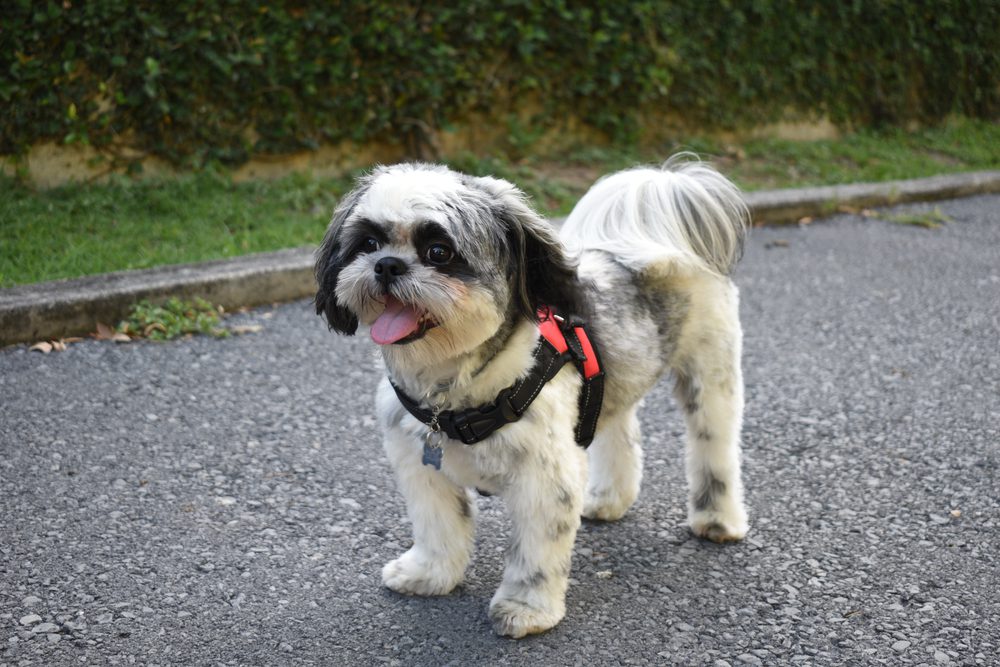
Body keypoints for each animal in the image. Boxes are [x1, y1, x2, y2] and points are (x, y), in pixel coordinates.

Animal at [316, 155, 748, 636]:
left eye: (439, 252)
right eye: (368, 242)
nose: (387, 264)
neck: (453, 391)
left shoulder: (543, 479)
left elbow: (535, 551)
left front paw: (526, 608)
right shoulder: (422, 467)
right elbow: (438, 528)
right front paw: (428, 574)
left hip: (710, 375)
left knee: (714, 446)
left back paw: (717, 518)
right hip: (612, 383)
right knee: (619, 432)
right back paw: (607, 500)